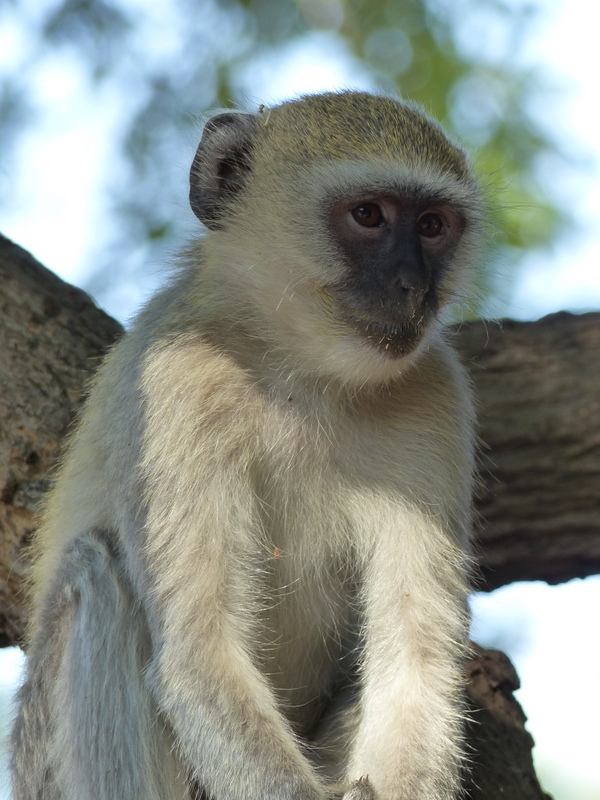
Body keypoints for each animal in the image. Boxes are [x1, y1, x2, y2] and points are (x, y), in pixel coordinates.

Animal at [12, 92, 482, 800]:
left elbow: (413, 663)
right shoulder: (176, 378)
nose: (411, 288)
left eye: (432, 225)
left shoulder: (435, 395)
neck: (306, 377)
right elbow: (202, 652)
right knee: (95, 571)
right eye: (368, 215)